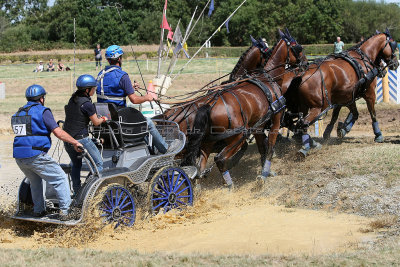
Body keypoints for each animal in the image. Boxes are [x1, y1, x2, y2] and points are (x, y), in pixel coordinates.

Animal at [282, 29, 398, 158]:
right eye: (393, 45)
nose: (396, 63)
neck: (363, 60)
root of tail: (301, 75)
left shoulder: (346, 97)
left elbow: (346, 115)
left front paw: (340, 130)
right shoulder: (369, 94)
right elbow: (372, 114)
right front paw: (378, 135)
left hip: (304, 107)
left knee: (297, 125)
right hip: (319, 106)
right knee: (303, 123)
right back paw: (305, 148)